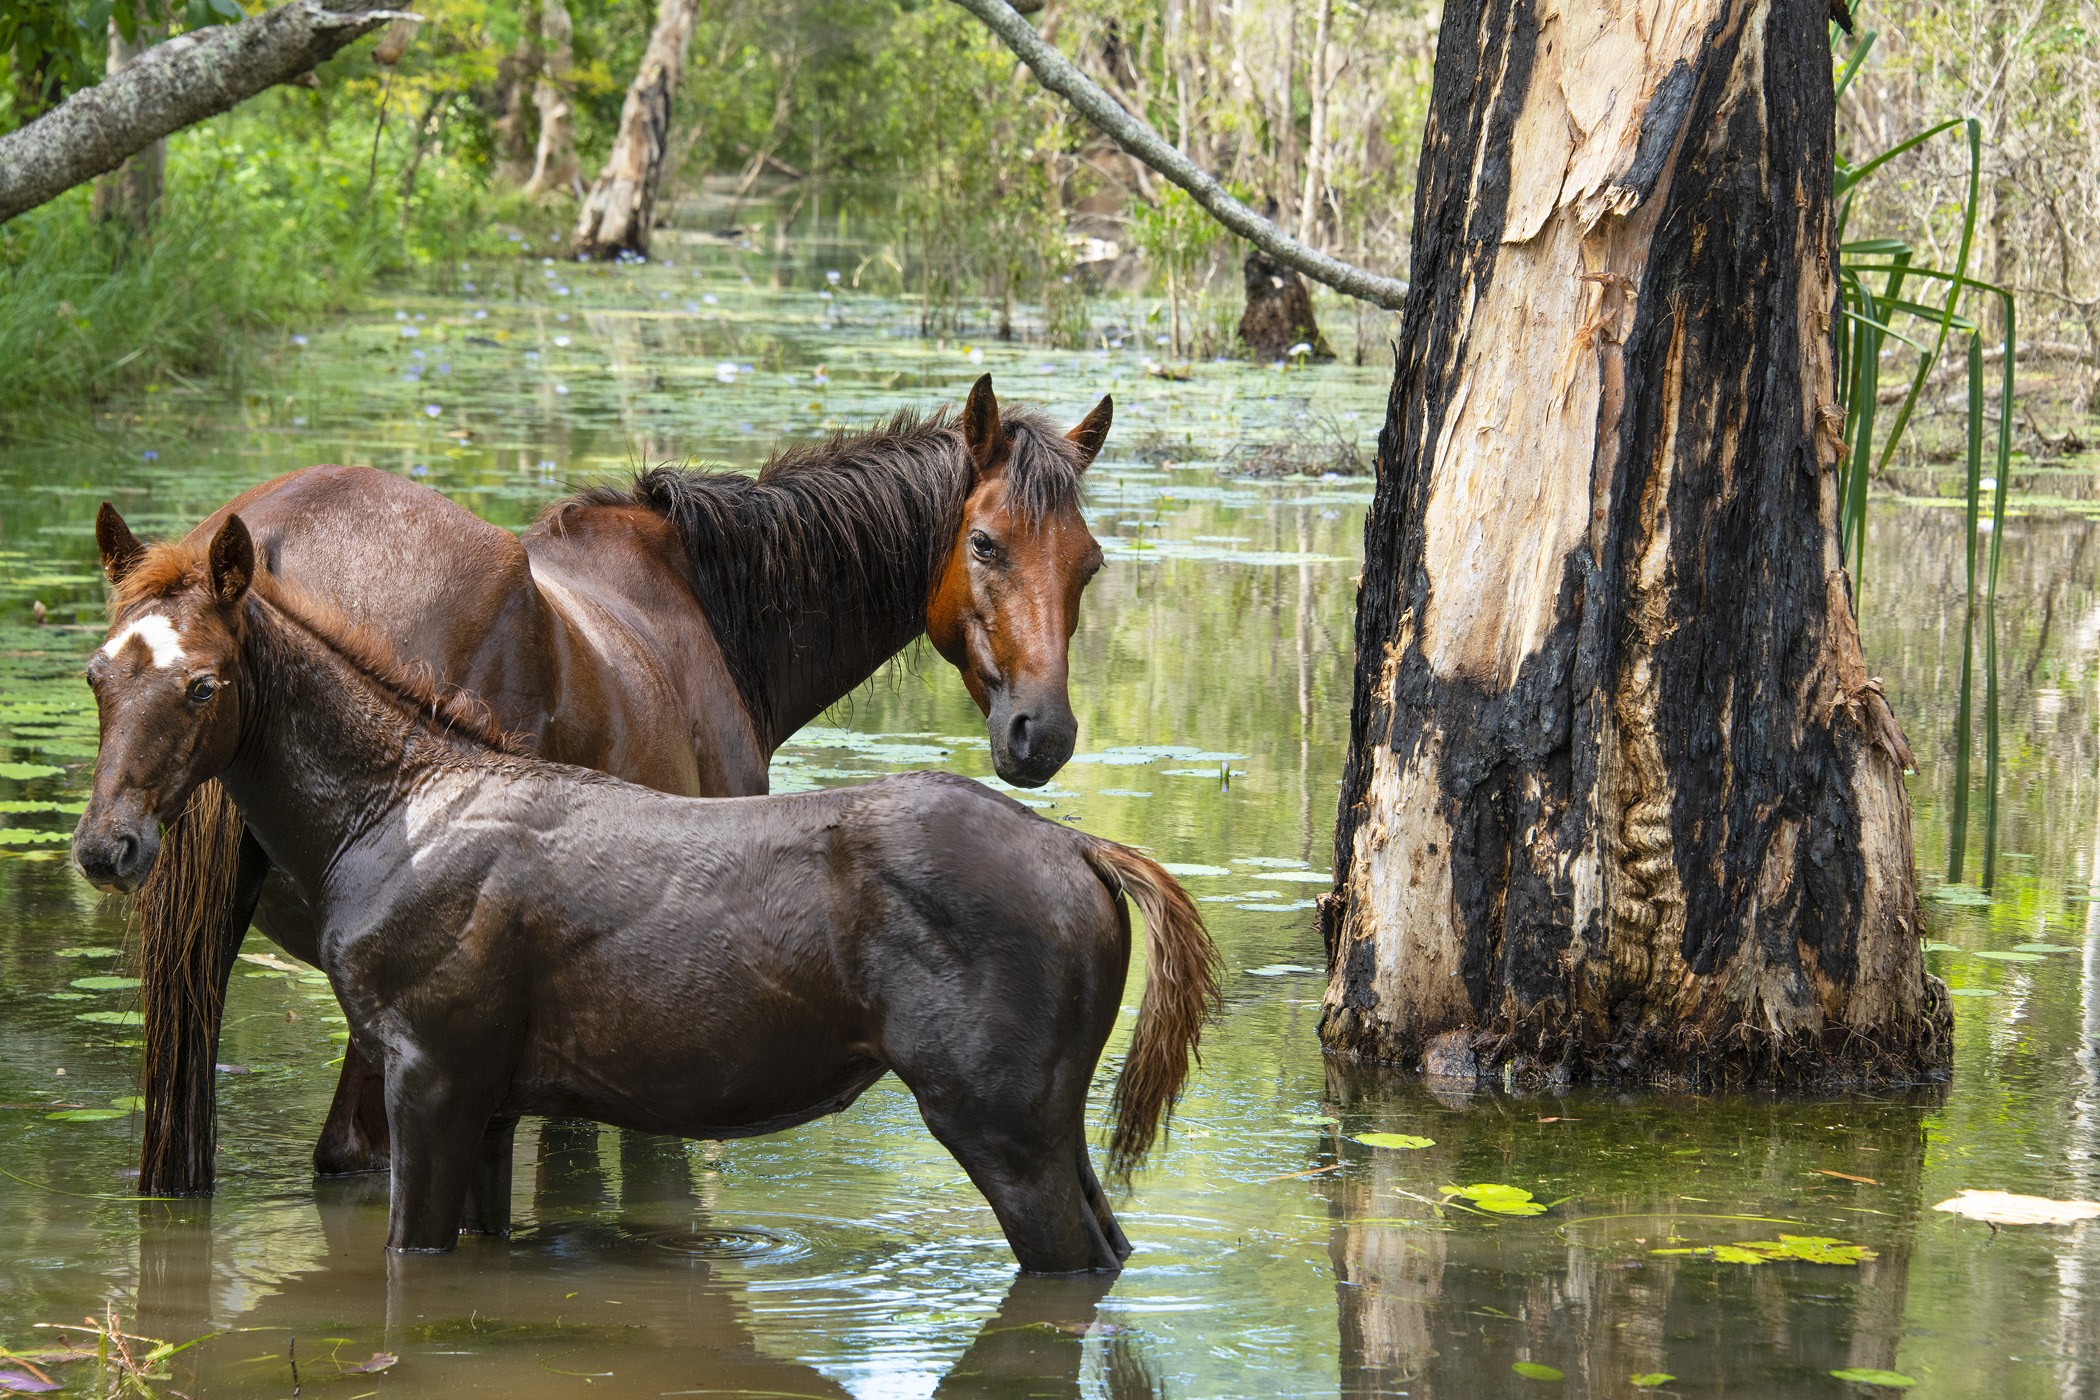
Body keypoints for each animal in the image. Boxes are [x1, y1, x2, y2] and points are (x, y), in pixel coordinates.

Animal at [74, 512, 1218, 1267]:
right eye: (98, 673)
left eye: (202, 684)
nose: (106, 845)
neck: (391, 812)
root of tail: (1083, 853)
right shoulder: (490, 1105)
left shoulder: (429, 1079)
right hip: (1055, 1130)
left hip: (1001, 1130)